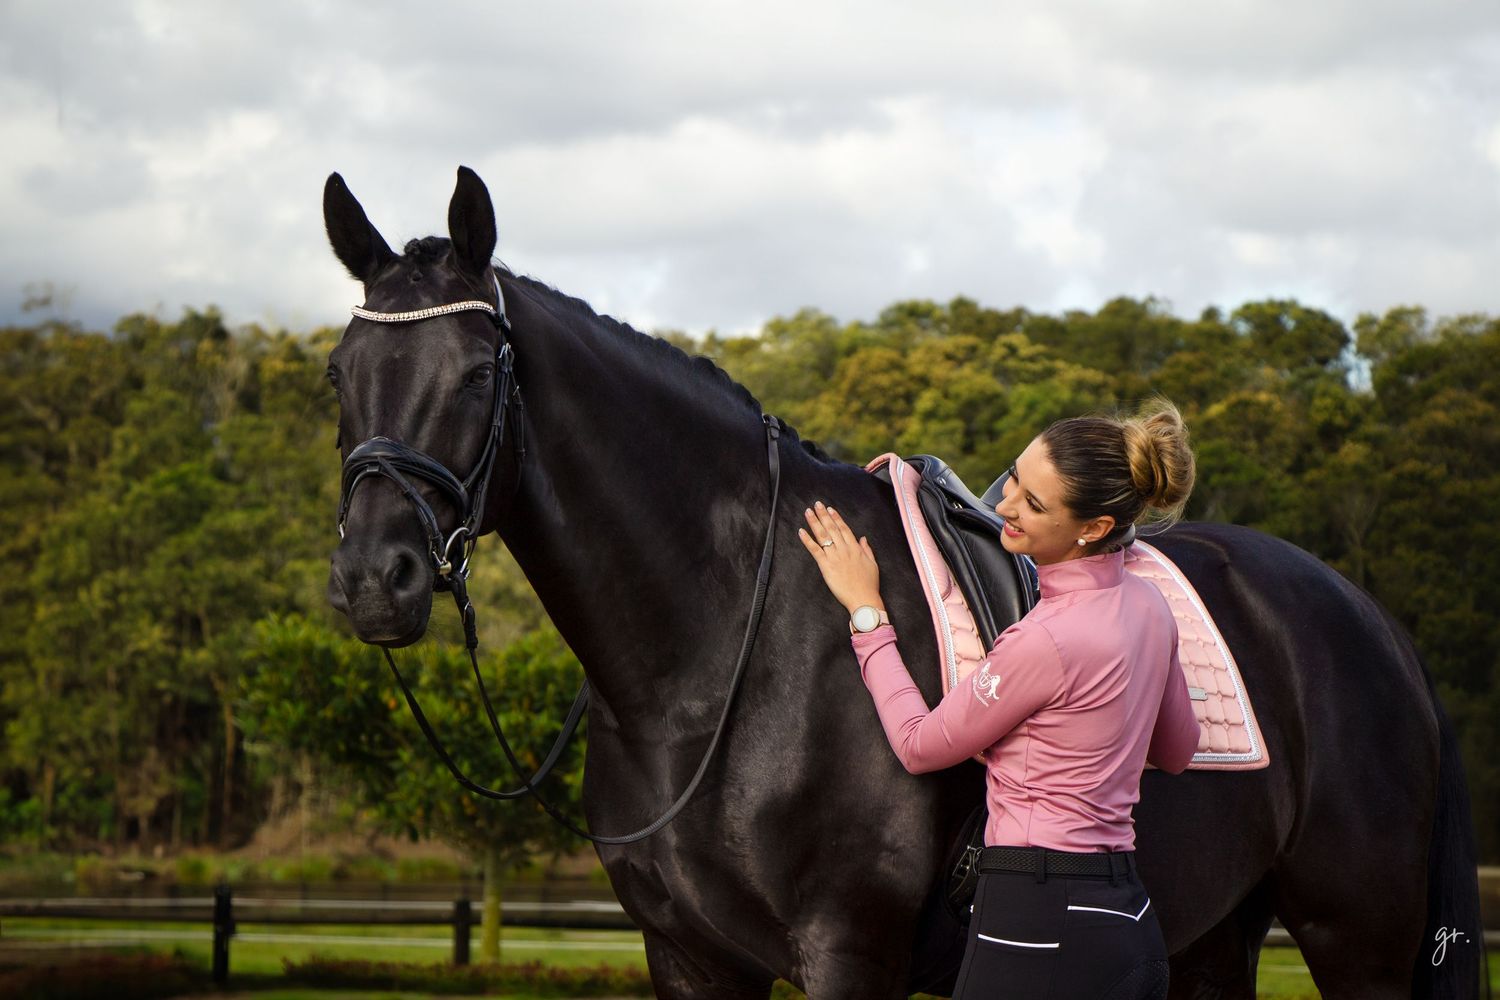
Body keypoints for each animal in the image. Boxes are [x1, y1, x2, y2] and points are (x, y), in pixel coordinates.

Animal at [320, 165, 1483, 999]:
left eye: (478, 373)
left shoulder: (849, 952)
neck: (723, 658)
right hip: (1211, 938)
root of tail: (1371, 624)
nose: (377, 577)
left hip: (1356, 938)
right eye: (339, 374)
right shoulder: (690, 958)